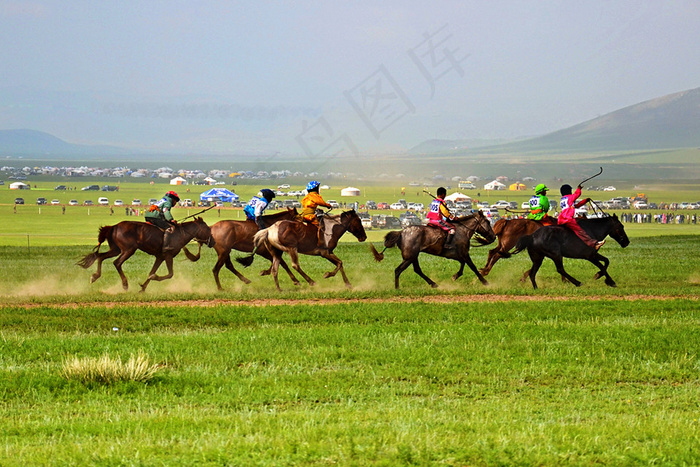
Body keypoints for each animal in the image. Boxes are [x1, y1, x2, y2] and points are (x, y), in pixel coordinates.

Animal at [76, 218, 213, 292]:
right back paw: (125, 285)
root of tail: (114, 226)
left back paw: (94, 276)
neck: (180, 234)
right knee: (117, 262)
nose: (212, 241)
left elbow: (151, 271)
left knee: (100, 256)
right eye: (208, 228)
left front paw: (142, 288)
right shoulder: (168, 256)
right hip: (128, 250)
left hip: (116, 249)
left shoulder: (160, 257)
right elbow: (169, 274)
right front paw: (153, 278)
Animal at [235, 211, 366, 290]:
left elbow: (340, 264)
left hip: (276, 252)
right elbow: (339, 263)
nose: (364, 237)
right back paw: (311, 282)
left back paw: (279, 289)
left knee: (275, 269)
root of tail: (269, 230)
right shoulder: (325, 252)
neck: (332, 228)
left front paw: (348, 284)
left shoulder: (329, 252)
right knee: (295, 265)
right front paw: (327, 274)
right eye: (359, 221)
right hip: (292, 248)